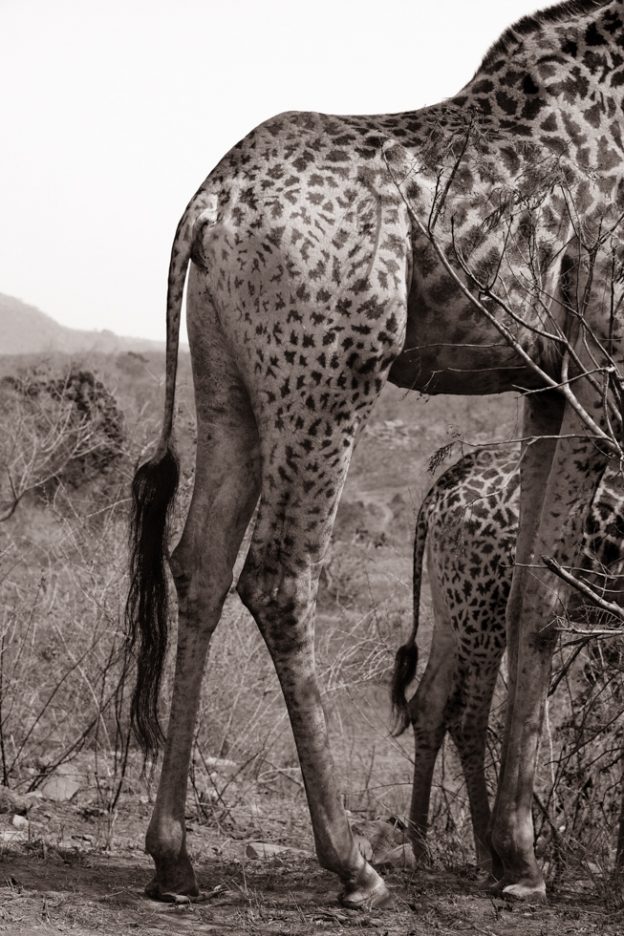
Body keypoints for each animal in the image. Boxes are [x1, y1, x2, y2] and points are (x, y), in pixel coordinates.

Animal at [391, 446, 624, 873]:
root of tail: (438, 495)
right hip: (485, 605)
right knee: (467, 717)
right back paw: (489, 855)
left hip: (451, 603)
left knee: (428, 704)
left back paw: (420, 845)